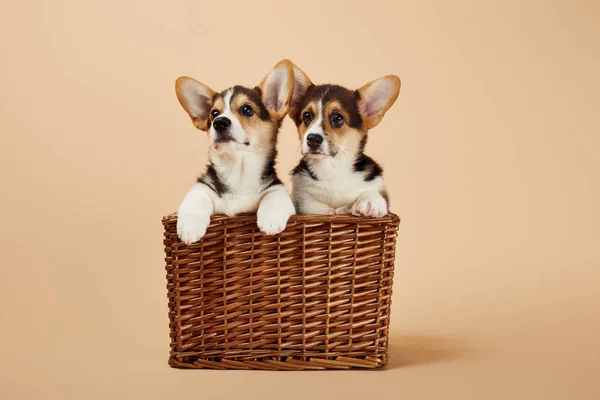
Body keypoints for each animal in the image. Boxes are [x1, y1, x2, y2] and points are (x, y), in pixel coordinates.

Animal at [173, 59, 296, 244]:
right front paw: (190, 228)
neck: (238, 168)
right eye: (214, 113)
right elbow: (195, 198)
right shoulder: (203, 186)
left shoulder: (276, 187)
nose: (219, 122)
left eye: (247, 109)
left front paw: (270, 221)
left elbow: (274, 196)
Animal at [288, 64, 400, 217]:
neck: (334, 167)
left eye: (338, 118)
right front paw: (338, 211)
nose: (312, 139)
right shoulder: (303, 200)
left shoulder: (378, 186)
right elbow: (318, 207)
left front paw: (368, 202)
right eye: (307, 115)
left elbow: (374, 194)